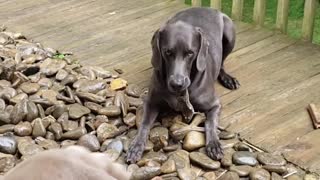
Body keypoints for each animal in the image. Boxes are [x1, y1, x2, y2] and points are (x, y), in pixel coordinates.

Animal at [126, 7, 239, 163]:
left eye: (190, 53)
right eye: (168, 52)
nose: (177, 84)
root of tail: (207, 8)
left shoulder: (215, 105)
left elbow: (210, 123)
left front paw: (214, 144)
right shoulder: (150, 102)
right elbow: (144, 124)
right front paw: (136, 145)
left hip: (229, 32)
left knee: (222, 62)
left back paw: (228, 79)